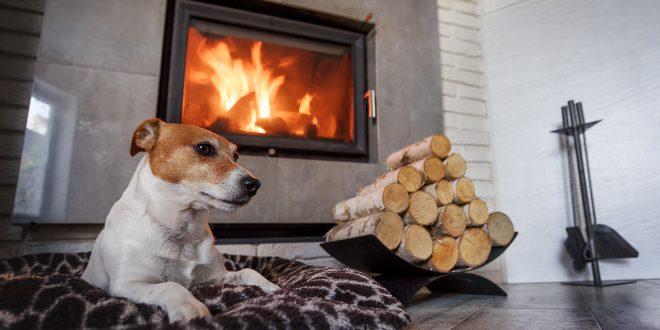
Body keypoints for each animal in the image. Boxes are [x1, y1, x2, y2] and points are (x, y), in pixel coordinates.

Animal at [82, 118, 278, 322]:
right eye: (204, 148)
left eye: (236, 157)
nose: (255, 184)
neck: (182, 230)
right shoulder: (127, 283)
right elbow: (171, 285)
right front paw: (192, 308)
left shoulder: (217, 278)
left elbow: (250, 271)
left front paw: (275, 289)